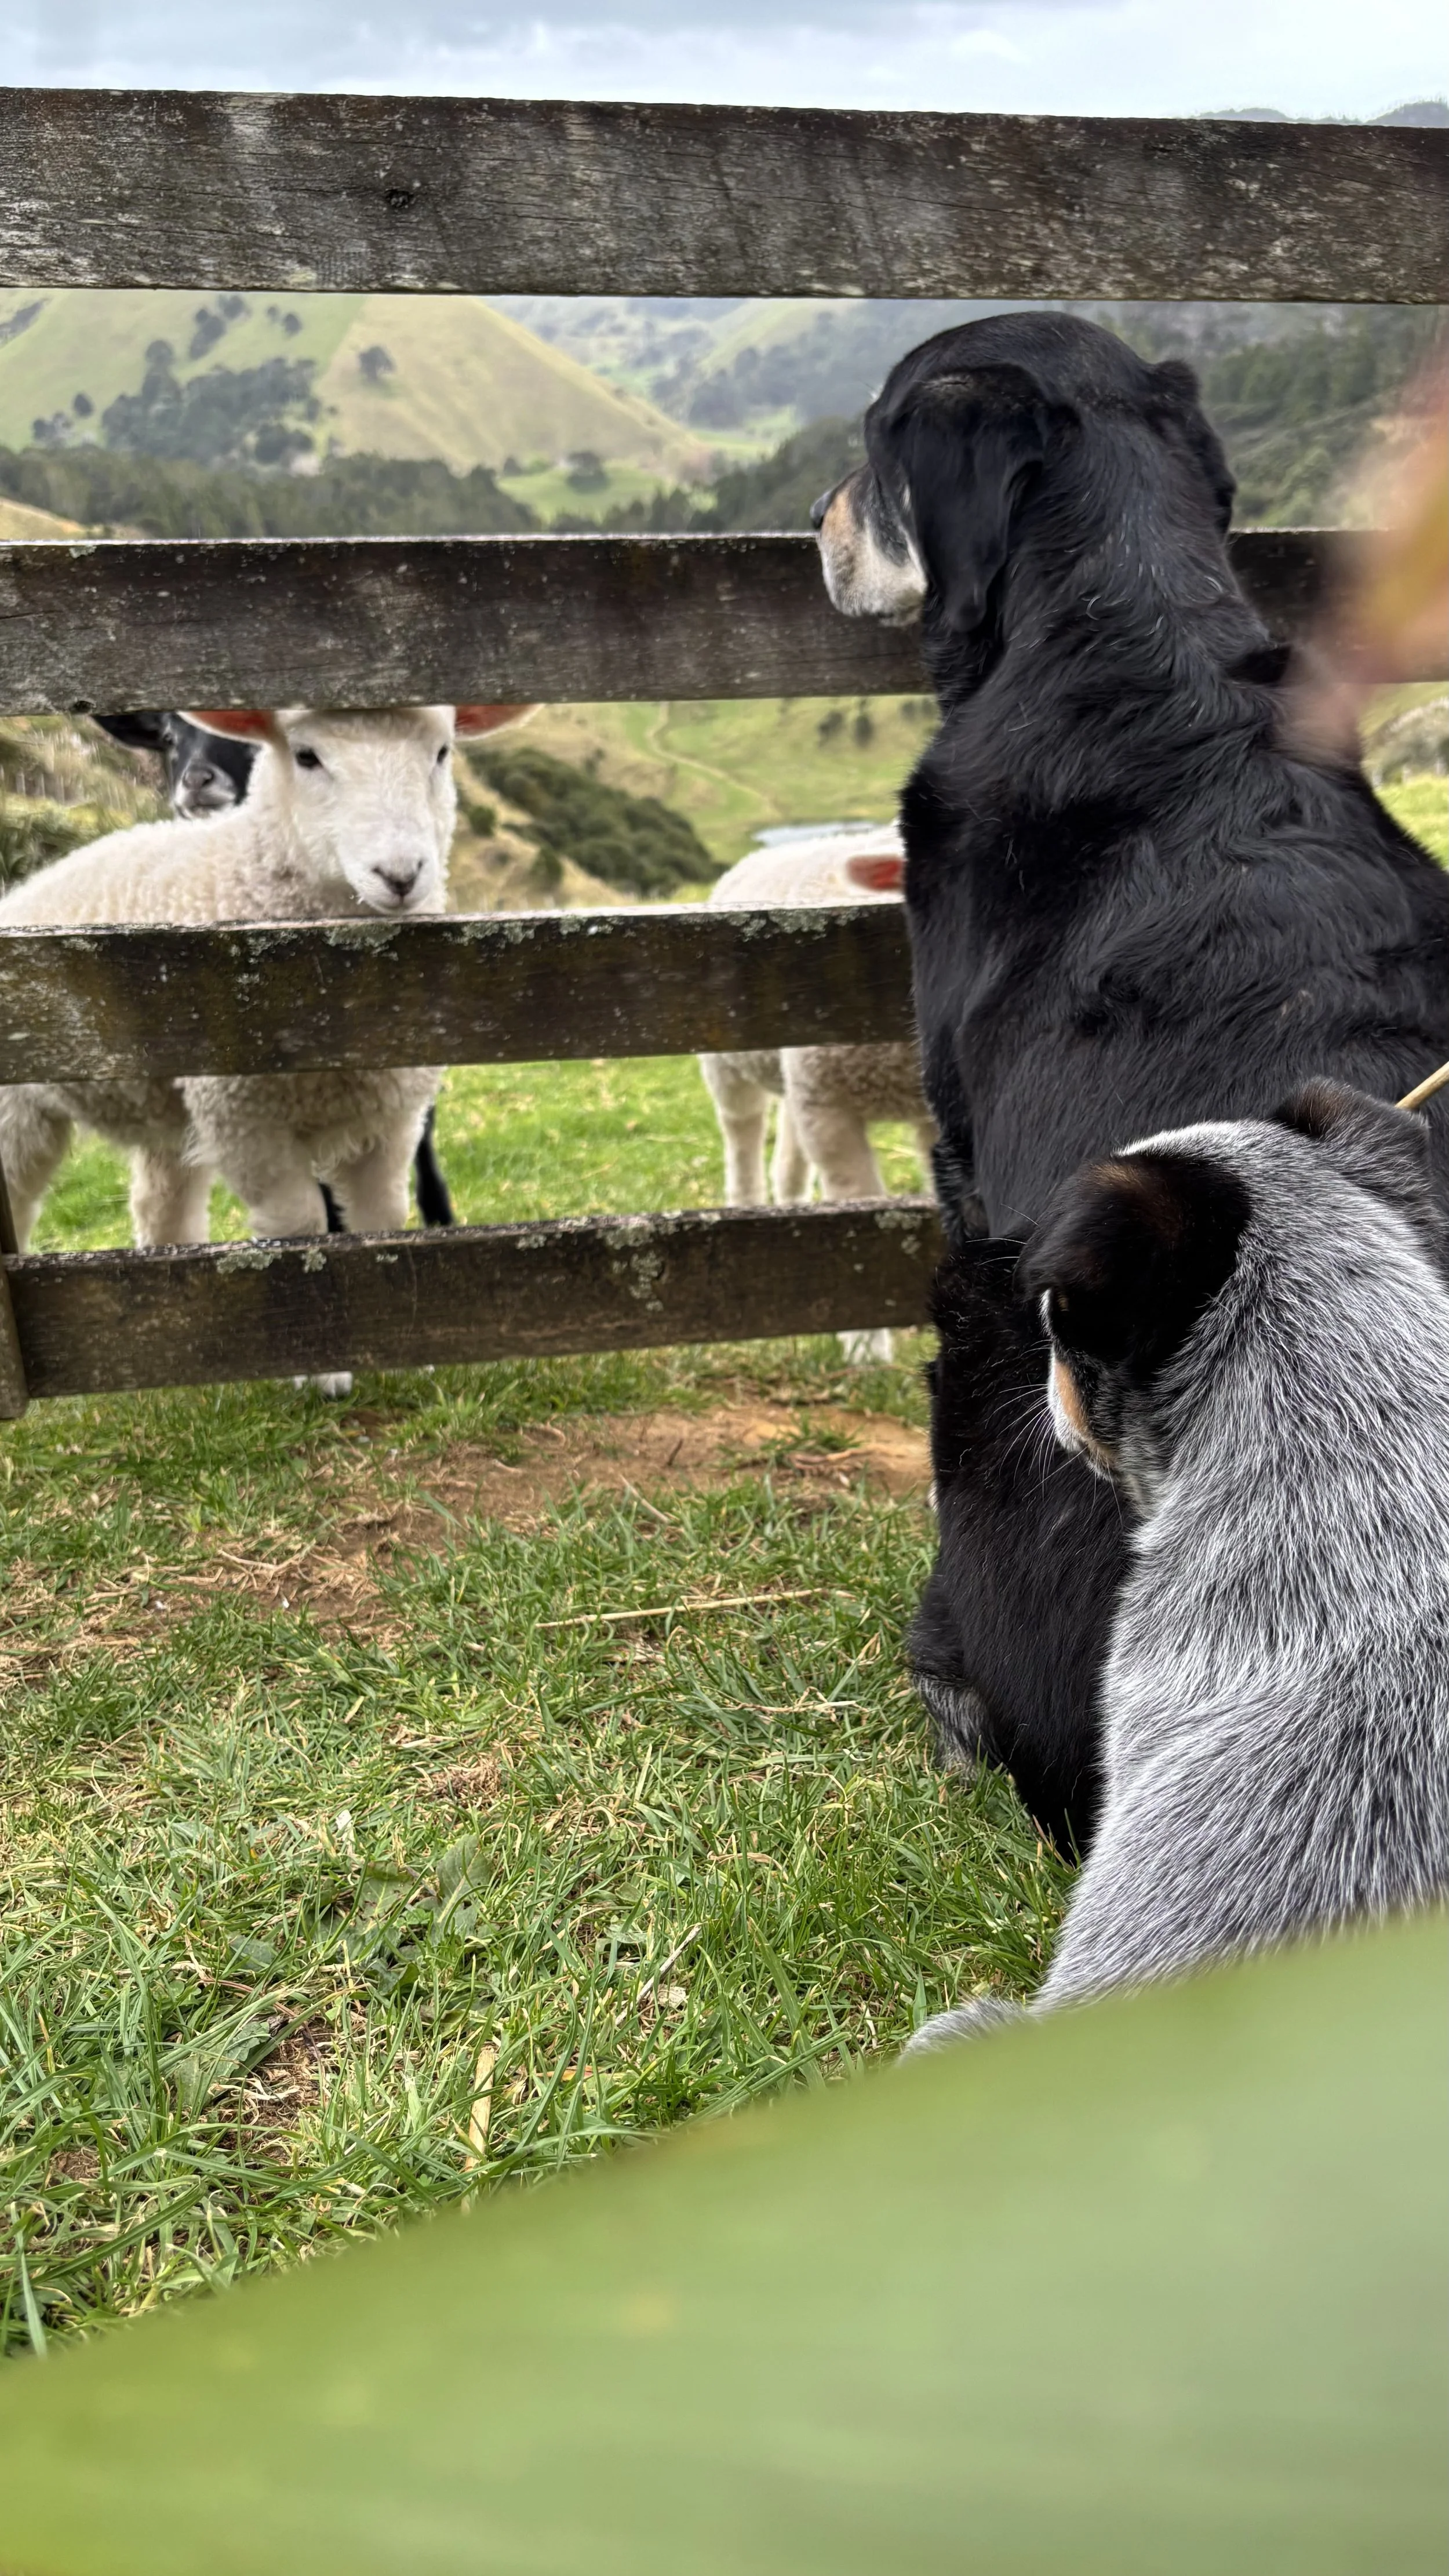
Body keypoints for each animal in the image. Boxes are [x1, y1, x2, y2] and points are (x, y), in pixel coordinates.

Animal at [0, 703, 523, 1269]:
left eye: (442, 751)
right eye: (306, 756)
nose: (401, 875)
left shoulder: (391, 1124)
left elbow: (382, 1219)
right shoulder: (244, 1123)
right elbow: (300, 1228)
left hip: (170, 1114)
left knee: (162, 1208)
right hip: (18, 1112)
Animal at [698, 826, 934, 1364]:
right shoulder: (830, 1109)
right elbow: (862, 1208)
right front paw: (866, 1347)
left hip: (797, 1081)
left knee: (788, 1151)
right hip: (730, 1064)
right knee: (742, 1134)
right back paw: (746, 1206)